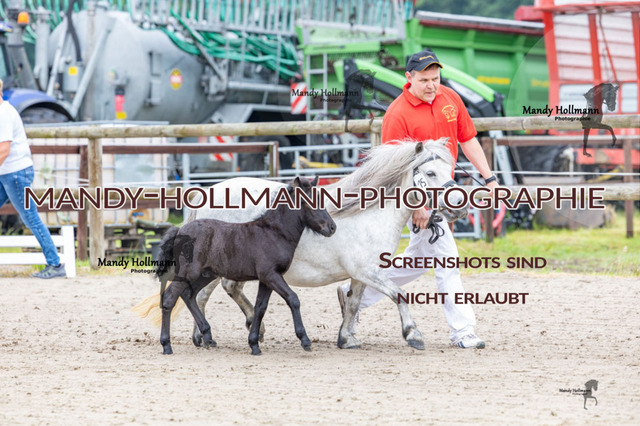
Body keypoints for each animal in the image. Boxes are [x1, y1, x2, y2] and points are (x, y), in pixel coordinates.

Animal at [155, 177, 337, 355]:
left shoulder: (266, 279)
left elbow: (260, 307)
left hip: (206, 274)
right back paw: (167, 345)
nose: (332, 227)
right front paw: (304, 340)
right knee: (170, 297)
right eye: (309, 201)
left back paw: (207, 335)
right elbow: (293, 299)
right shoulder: (271, 275)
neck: (274, 233)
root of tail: (179, 231)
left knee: (189, 294)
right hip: (189, 272)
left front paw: (254, 344)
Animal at [173, 139, 467, 351]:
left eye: (450, 169)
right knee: (204, 294)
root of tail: (208, 192)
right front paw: (413, 334)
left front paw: (347, 338)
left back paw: (220, 333)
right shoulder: (367, 271)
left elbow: (353, 302)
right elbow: (399, 294)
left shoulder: (362, 275)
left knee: (216, 292)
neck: (368, 213)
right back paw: (210, 335)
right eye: (430, 172)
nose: (460, 207)